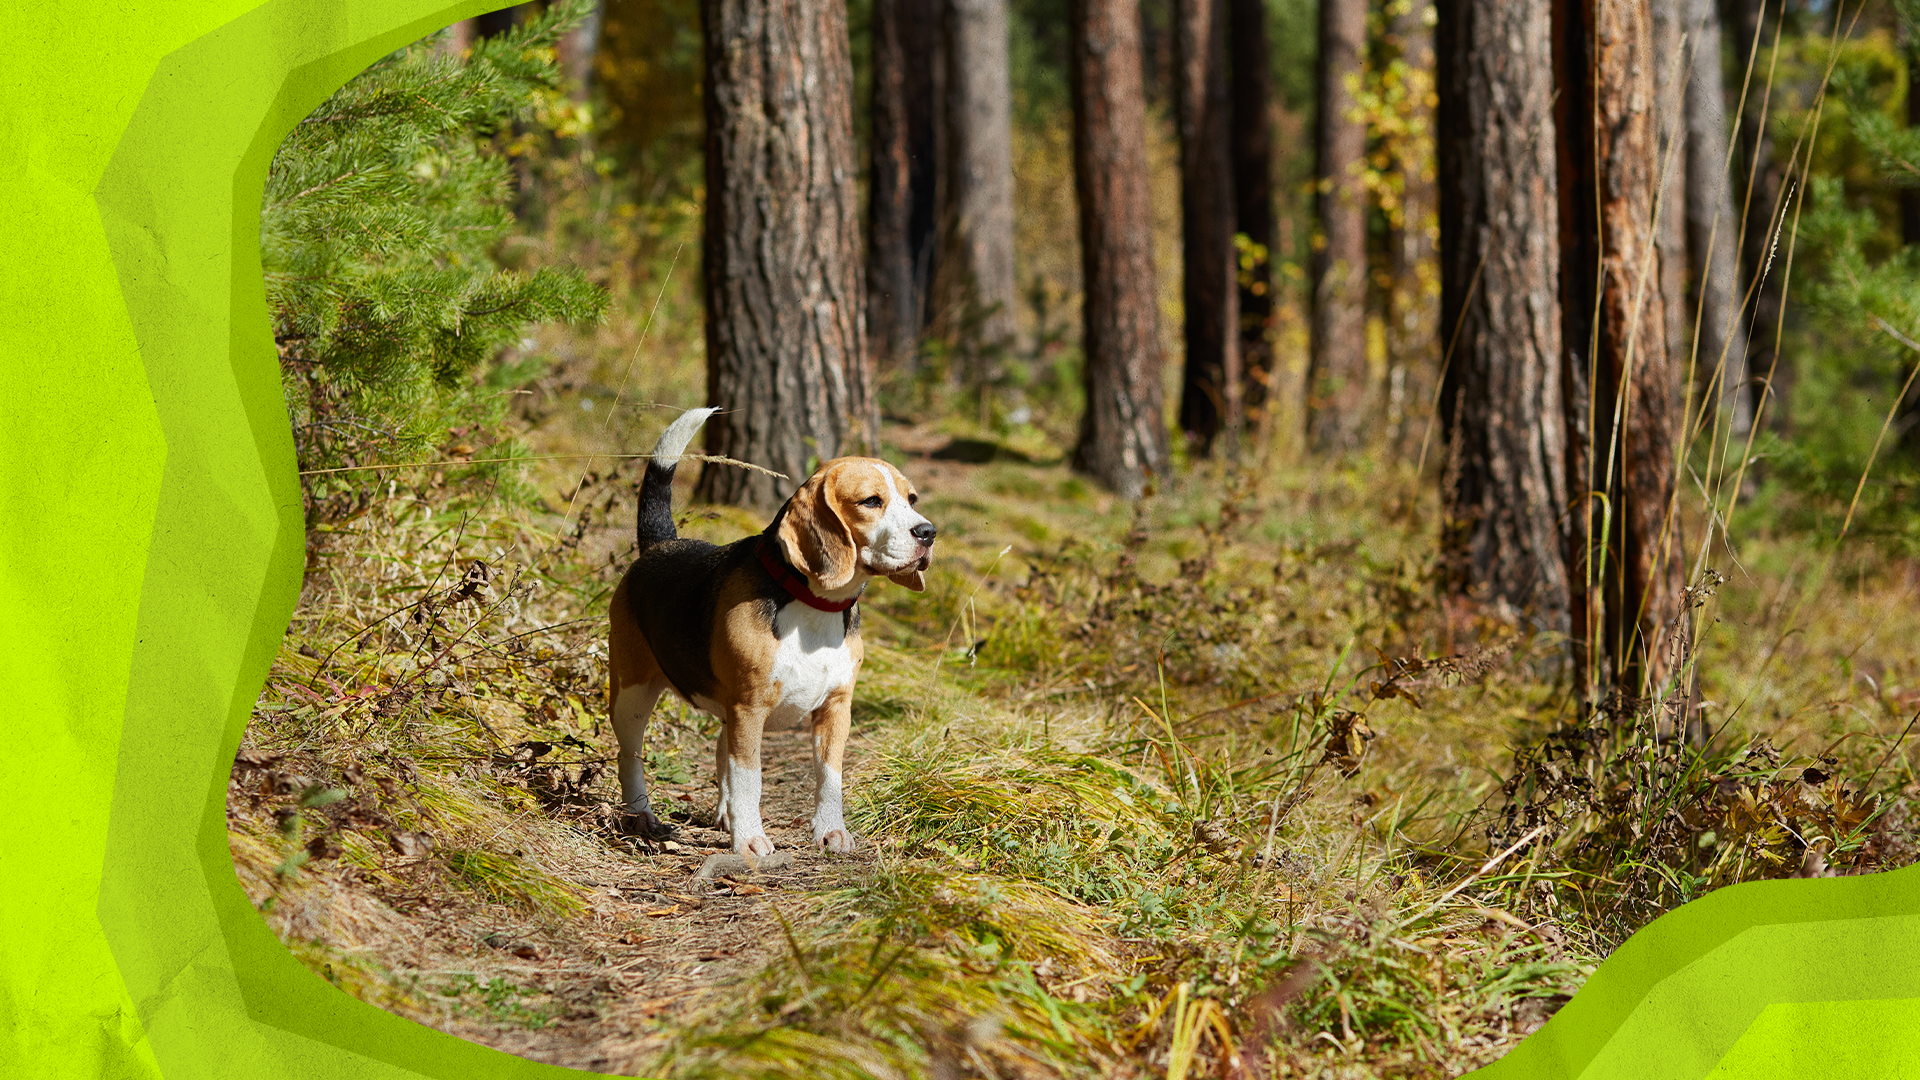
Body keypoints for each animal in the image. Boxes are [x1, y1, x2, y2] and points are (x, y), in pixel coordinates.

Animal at [599, 407, 929, 853]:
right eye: (871, 501)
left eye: (912, 500)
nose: (928, 533)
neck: (814, 605)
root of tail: (659, 545)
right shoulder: (749, 708)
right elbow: (748, 777)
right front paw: (750, 840)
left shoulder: (836, 707)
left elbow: (829, 777)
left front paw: (831, 830)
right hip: (632, 694)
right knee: (630, 757)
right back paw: (642, 816)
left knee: (719, 752)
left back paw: (725, 816)